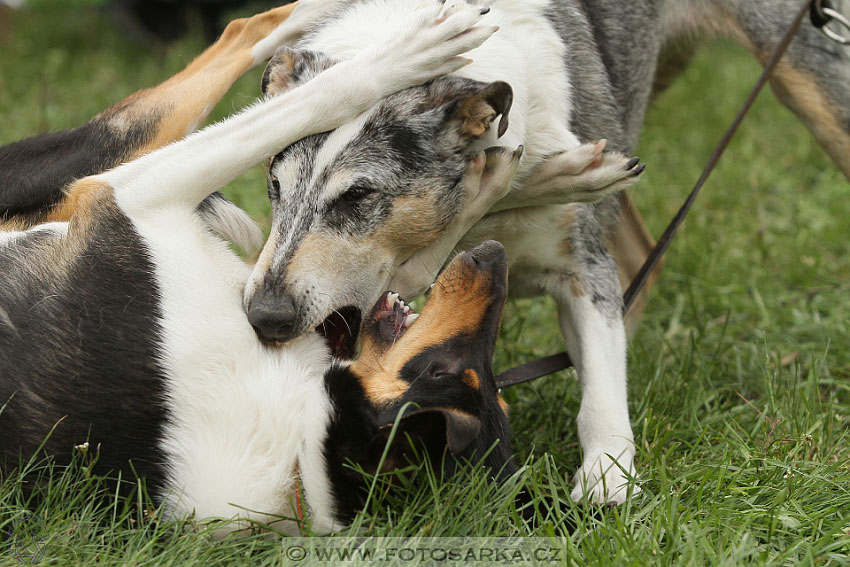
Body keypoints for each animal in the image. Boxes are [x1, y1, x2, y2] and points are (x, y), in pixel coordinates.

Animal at [238, 0, 848, 506]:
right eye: (274, 184)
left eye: (360, 196)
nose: (264, 317)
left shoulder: (582, 266)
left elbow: (599, 381)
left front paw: (607, 481)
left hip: (815, 79)